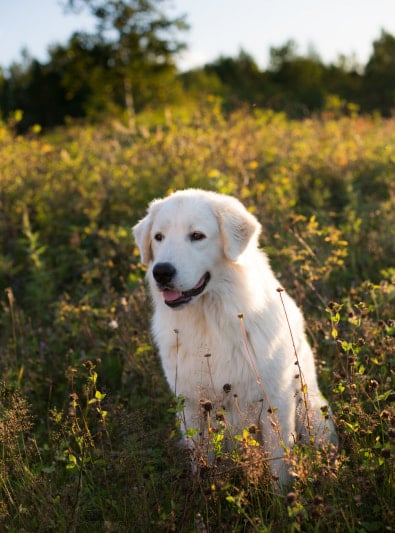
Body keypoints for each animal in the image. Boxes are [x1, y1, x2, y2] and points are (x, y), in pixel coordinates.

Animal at [133, 188, 338, 482]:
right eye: (158, 237)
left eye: (197, 236)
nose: (161, 271)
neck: (209, 321)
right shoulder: (192, 406)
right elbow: (201, 461)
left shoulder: (275, 402)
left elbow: (280, 467)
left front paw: (286, 495)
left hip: (314, 415)